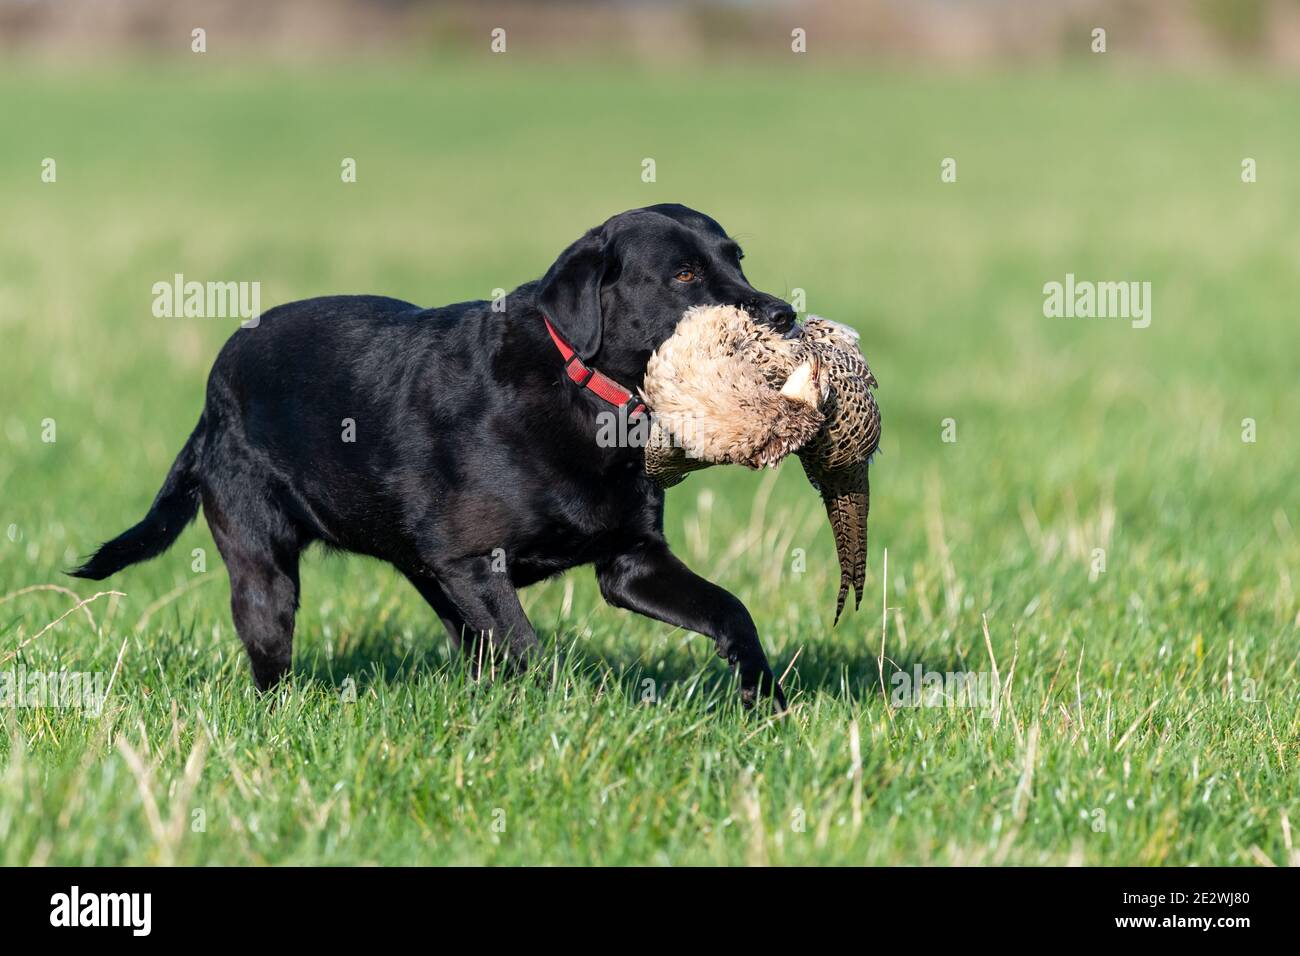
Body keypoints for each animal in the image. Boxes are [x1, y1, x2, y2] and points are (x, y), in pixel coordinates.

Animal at [78, 204, 800, 712]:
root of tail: (214, 391)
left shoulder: (631, 562)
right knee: (270, 655)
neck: (584, 390)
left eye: (736, 259)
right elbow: (528, 650)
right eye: (683, 274)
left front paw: (764, 701)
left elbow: (730, 609)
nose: (785, 314)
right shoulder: (474, 563)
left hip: (425, 574)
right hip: (265, 571)